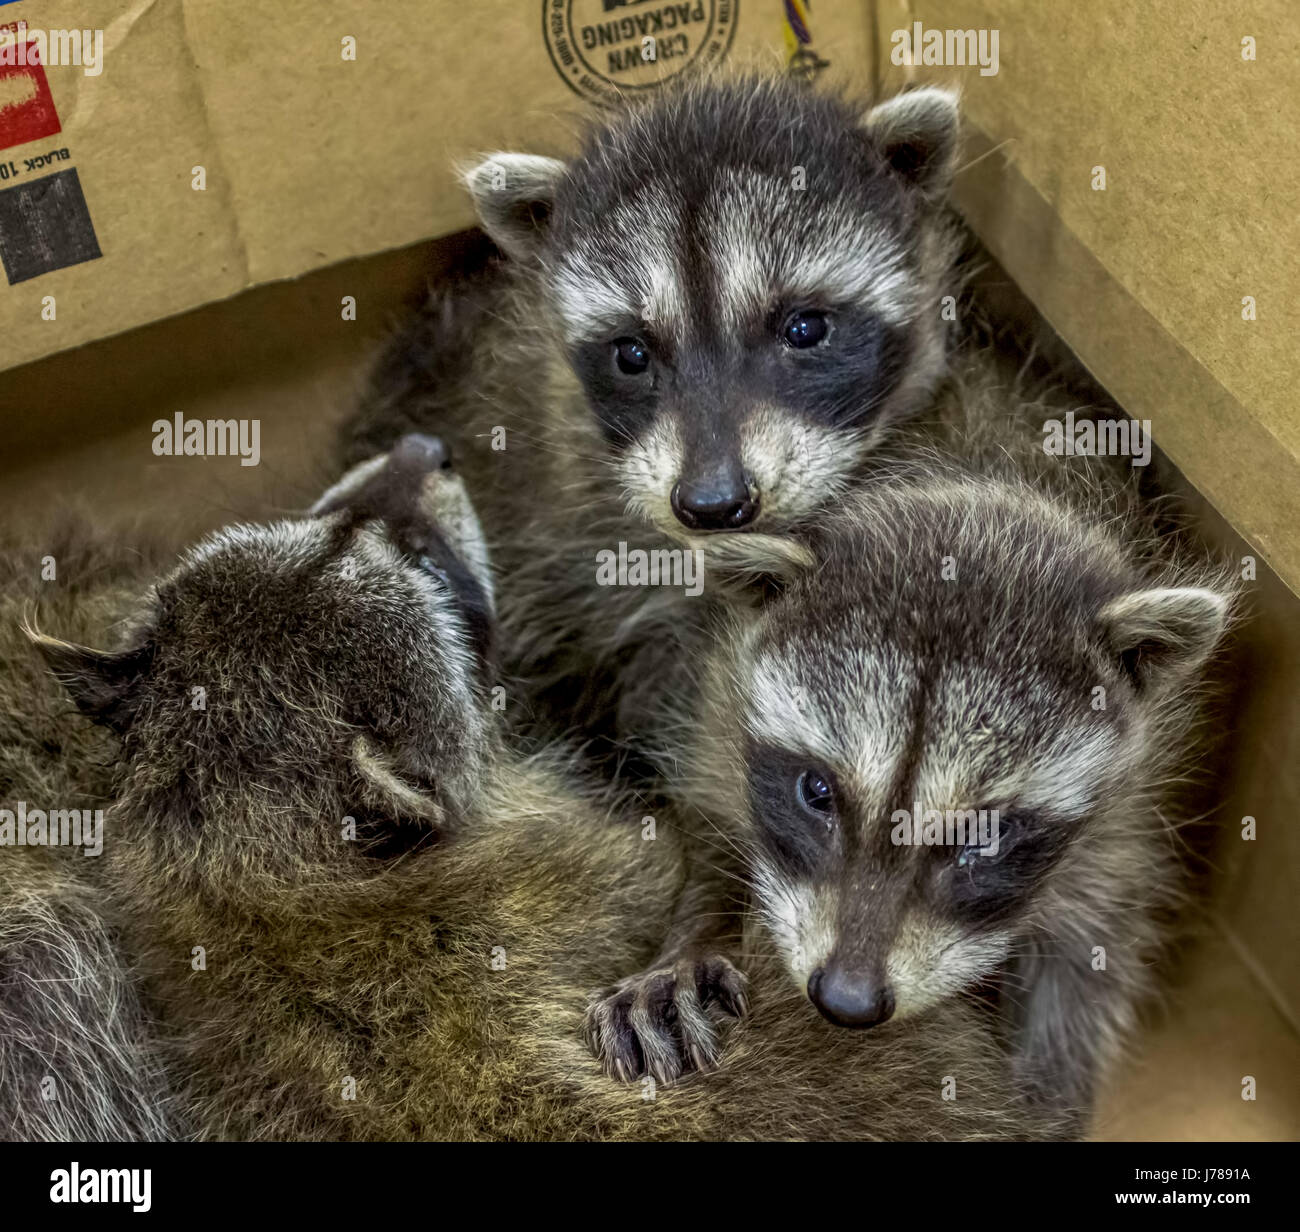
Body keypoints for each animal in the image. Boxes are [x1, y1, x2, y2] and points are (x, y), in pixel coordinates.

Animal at [675, 462, 1237, 1125]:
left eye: (983, 836)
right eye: (817, 792)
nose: (845, 1000)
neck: (987, 499)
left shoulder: (1128, 809)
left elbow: (1090, 957)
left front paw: (1049, 1101)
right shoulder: (720, 698)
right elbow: (707, 815)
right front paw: (695, 941)